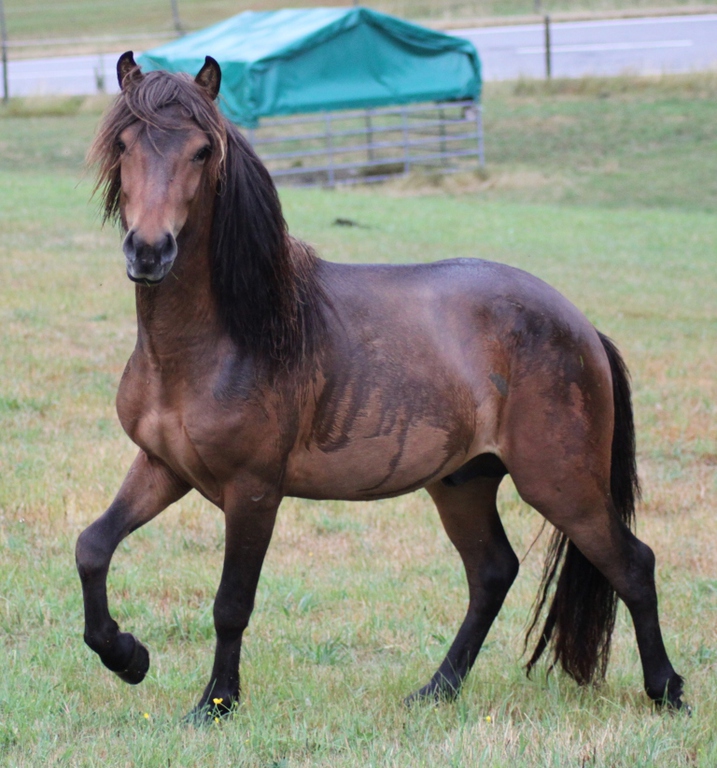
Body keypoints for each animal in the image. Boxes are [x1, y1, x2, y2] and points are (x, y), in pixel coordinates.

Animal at [75, 51, 685, 720]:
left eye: (202, 150)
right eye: (124, 143)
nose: (149, 251)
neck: (223, 338)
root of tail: (581, 326)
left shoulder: (254, 491)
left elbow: (231, 603)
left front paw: (216, 704)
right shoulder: (164, 466)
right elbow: (92, 547)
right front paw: (127, 656)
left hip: (561, 485)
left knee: (633, 565)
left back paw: (667, 691)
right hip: (464, 482)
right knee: (492, 573)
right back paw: (437, 689)